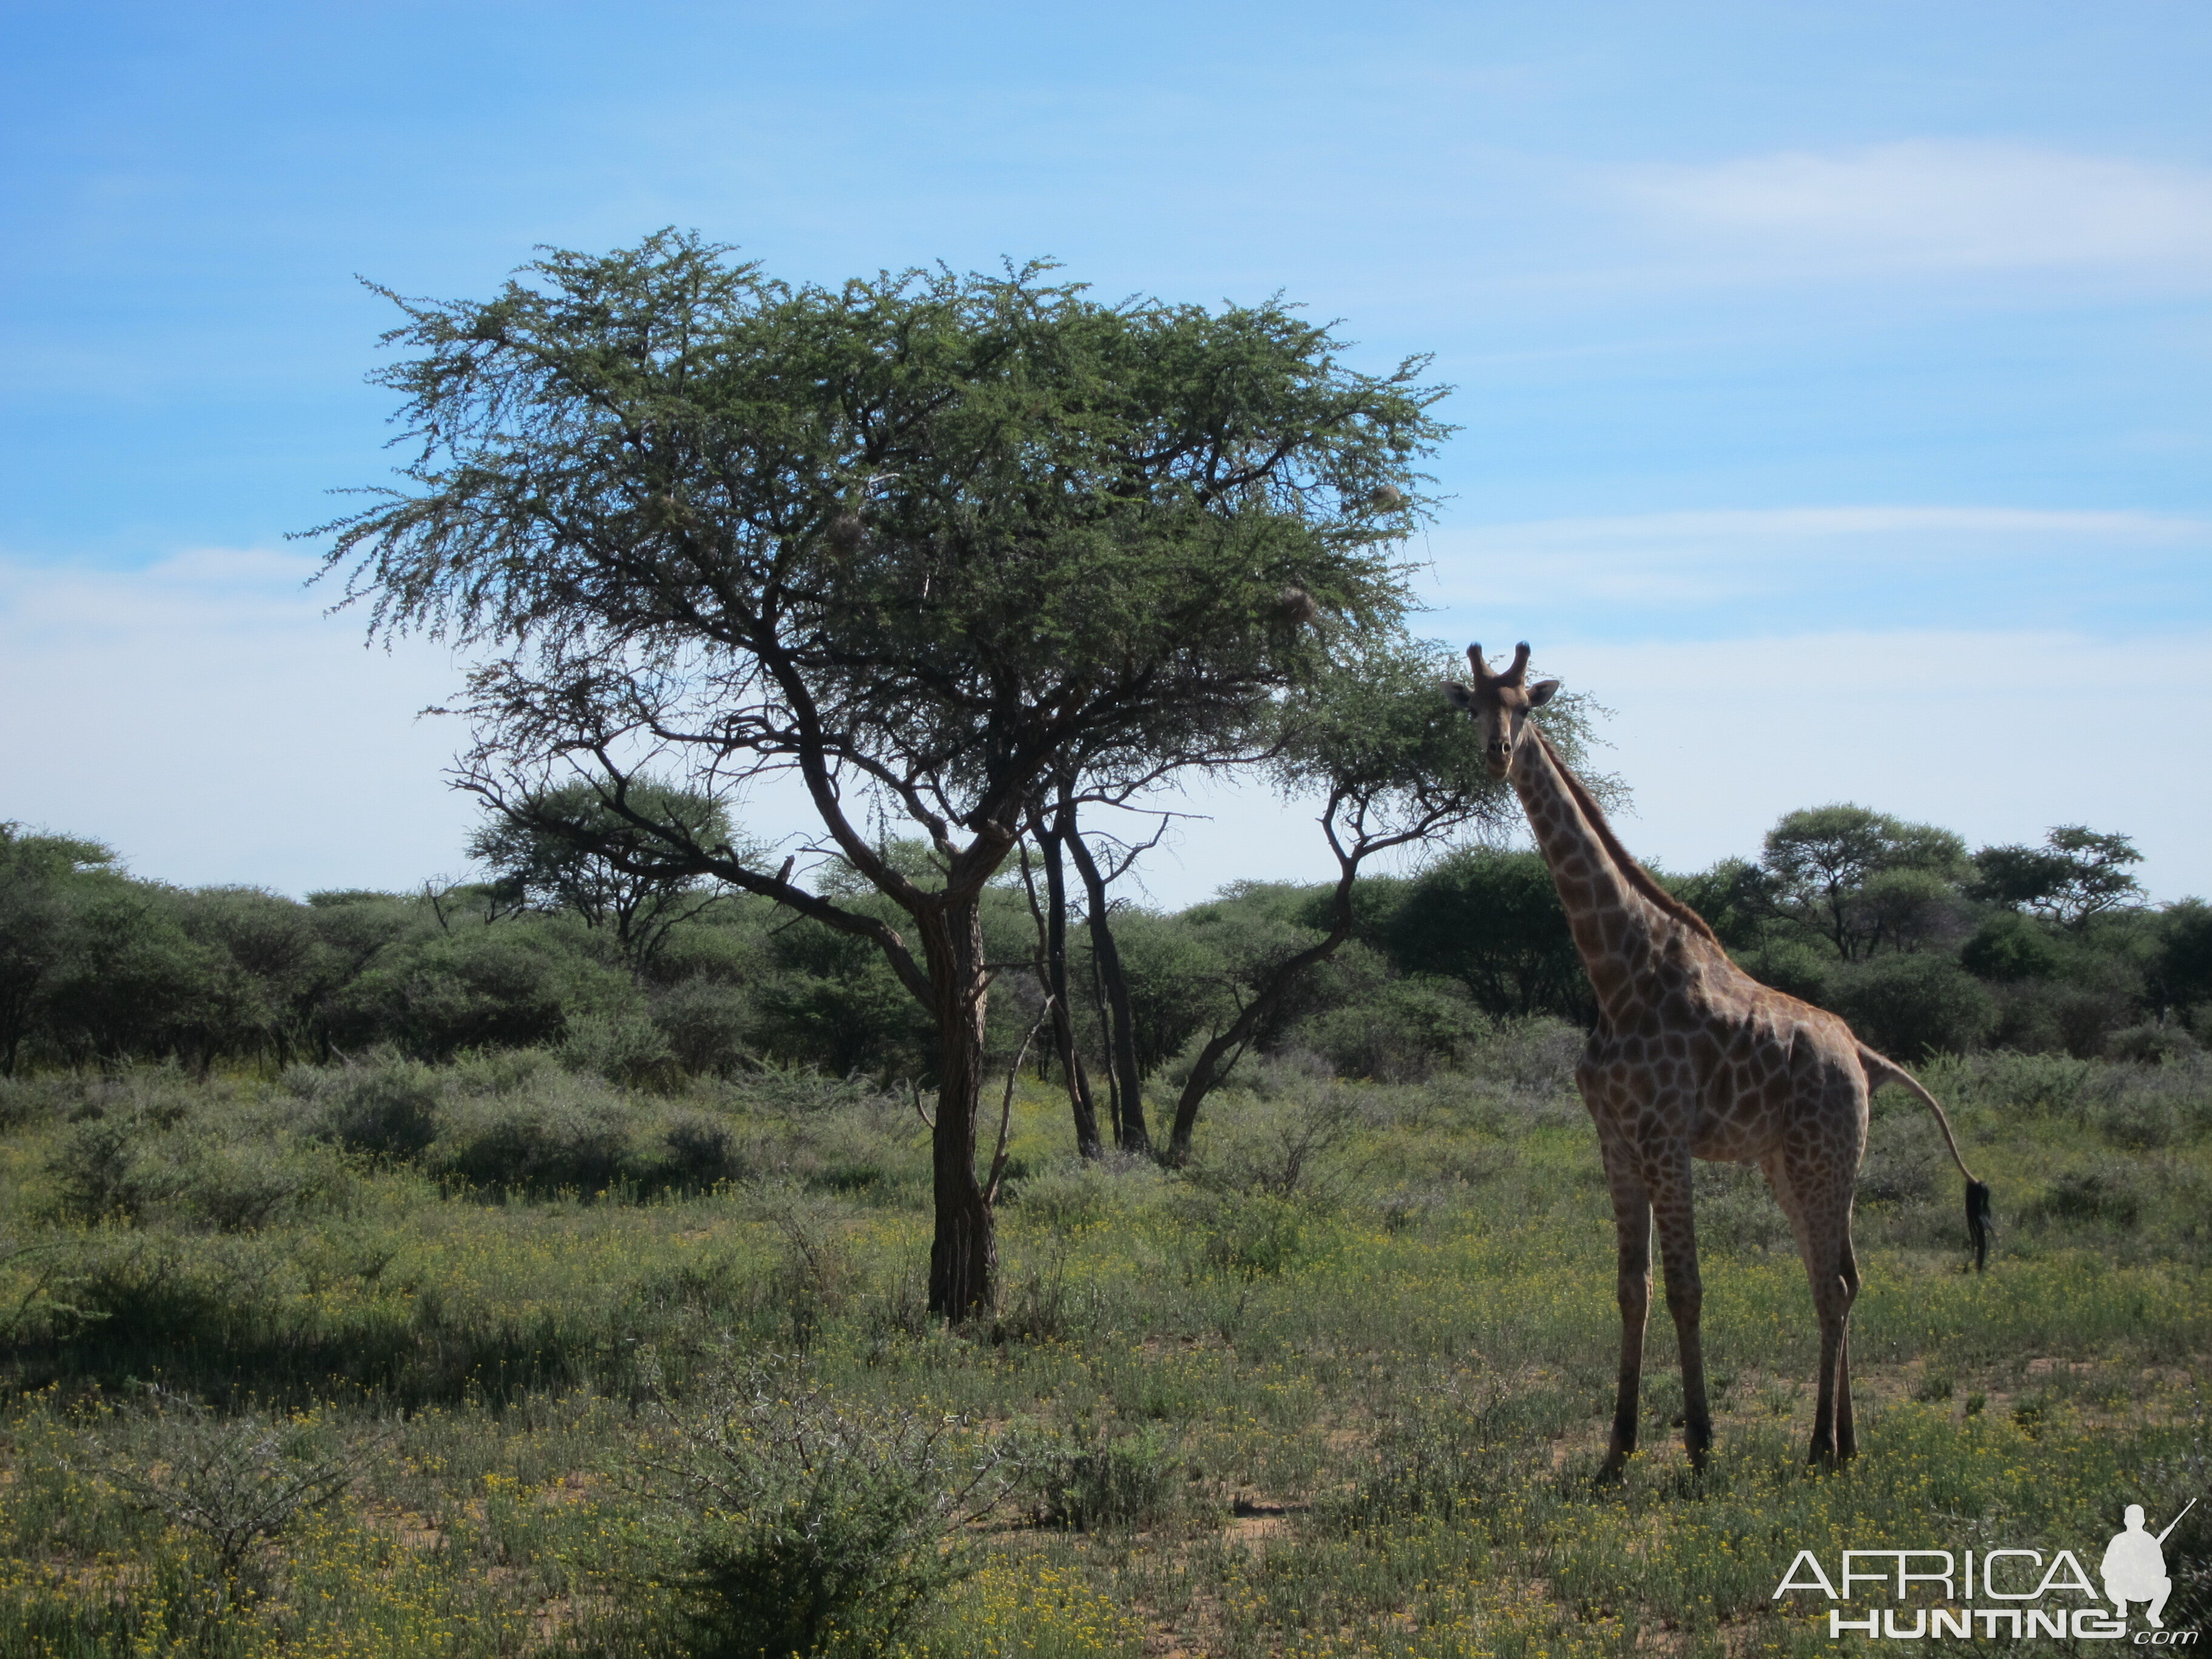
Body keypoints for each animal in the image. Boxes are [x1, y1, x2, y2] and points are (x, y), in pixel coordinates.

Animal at [1442, 641, 1999, 1477]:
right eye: (1473, 707)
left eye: (1526, 707)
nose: (1496, 754)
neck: (1616, 973)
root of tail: (1862, 1054)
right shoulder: (1614, 1139)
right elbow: (1632, 1289)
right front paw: (1616, 1452)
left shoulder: (1665, 1135)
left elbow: (1686, 1289)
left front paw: (1702, 1448)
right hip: (1790, 1165)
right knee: (1840, 1277)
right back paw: (1846, 1444)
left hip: (1825, 1158)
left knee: (1834, 1287)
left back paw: (1819, 1446)